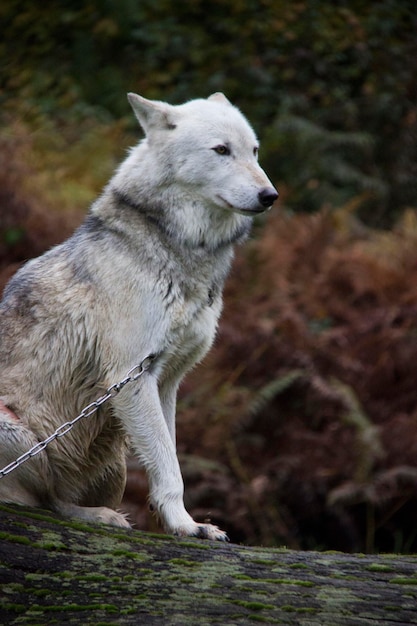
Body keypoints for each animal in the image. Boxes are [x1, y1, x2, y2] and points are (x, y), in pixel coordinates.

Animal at [0, 91, 280, 536]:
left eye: (254, 151)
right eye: (221, 150)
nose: (270, 195)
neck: (185, 256)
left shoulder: (166, 381)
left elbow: (170, 460)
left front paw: (182, 523)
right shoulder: (132, 376)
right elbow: (170, 468)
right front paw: (186, 526)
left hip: (112, 464)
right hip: (21, 434)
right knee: (35, 501)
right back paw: (102, 517)